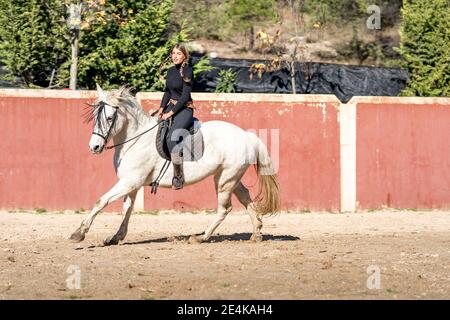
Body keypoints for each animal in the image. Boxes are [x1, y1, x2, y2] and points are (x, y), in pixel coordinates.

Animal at [70, 85, 280, 245]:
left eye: (109, 118)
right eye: (95, 117)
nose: (94, 147)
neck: (135, 139)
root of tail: (247, 135)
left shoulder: (129, 182)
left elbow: (102, 201)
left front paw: (79, 233)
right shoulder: (131, 184)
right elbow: (127, 209)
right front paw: (115, 237)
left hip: (225, 181)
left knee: (224, 209)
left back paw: (201, 237)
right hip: (229, 177)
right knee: (245, 197)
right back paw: (256, 233)